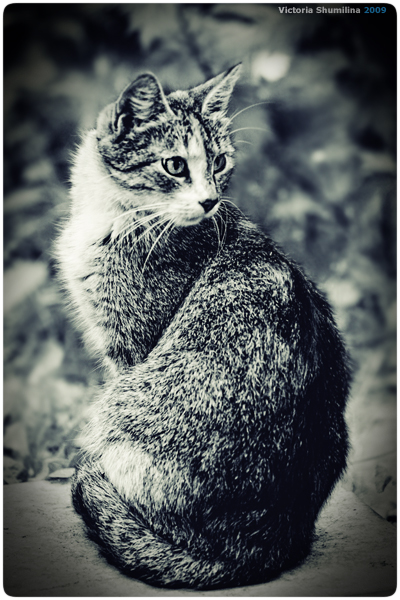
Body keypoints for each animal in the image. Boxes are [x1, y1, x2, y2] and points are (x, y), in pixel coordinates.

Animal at [56, 64, 350, 590]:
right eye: (174, 166)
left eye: (219, 161)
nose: (210, 201)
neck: (112, 218)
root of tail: (269, 542)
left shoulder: (130, 350)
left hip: (122, 406)